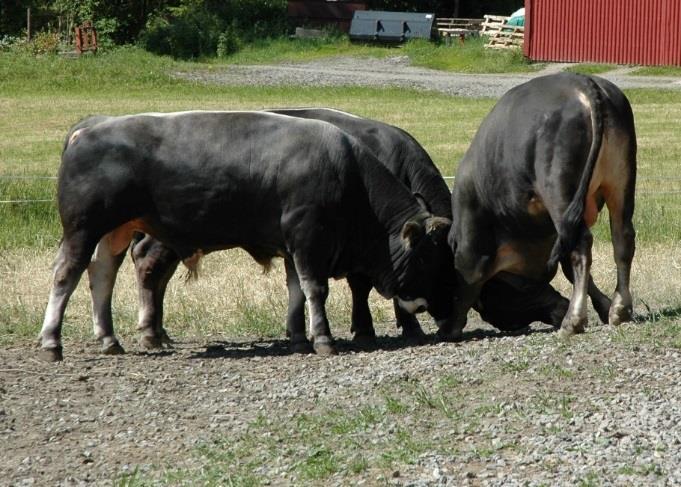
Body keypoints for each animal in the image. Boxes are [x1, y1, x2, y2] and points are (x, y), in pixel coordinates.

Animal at [35, 111, 456, 362]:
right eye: (428, 258)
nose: (425, 306)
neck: (347, 173)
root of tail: (88, 128)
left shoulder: (293, 244)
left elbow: (296, 291)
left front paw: (298, 338)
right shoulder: (308, 238)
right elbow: (317, 289)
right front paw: (324, 339)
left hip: (116, 232)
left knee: (102, 274)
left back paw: (111, 339)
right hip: (83, 228)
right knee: (67, 274)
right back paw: (52, 342)